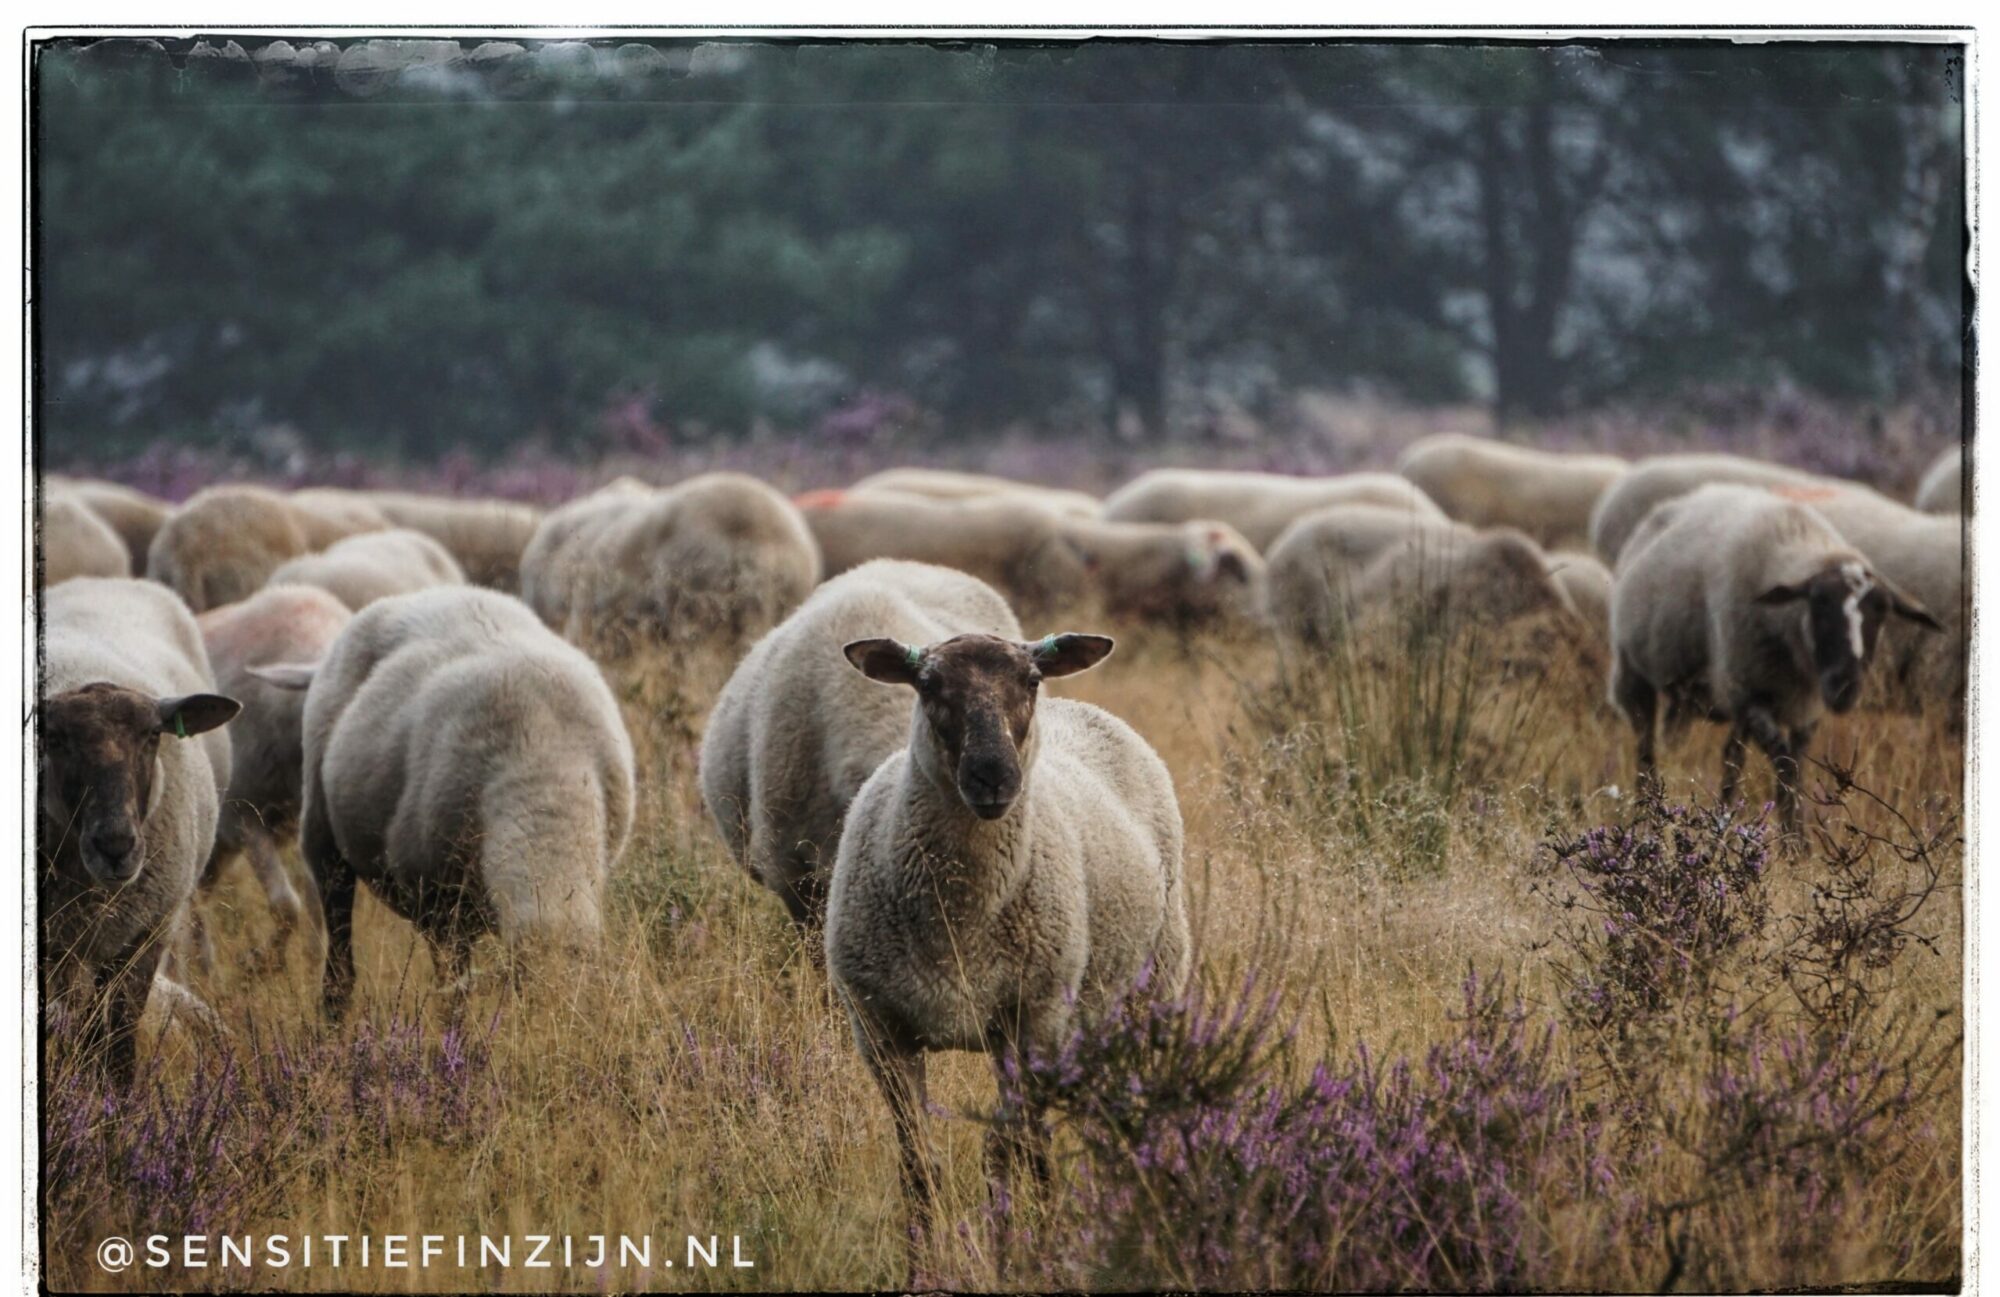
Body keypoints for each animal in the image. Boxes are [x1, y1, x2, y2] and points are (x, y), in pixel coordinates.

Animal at [40, 578, 240, 1082]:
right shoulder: (60, 941)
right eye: (55, 739)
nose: (116, 846)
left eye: (153, 735)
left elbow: (115, 1040)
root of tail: (105, 581)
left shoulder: (147, 932)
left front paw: (115, 1096)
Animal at [195, 586, 353, 972]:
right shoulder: (241, 816)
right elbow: (286, 904)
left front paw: (311, 964)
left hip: (216, 851)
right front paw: (260, 962)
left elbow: (314, 908)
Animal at [824, 630, 1188, 1275]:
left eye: (1031, 680)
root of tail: (1080, 706)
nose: (993, 776)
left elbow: (1018, 1148)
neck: (961, 923)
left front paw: (1032, 1254)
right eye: (928, 685)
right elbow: (919, 1165)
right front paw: (923, 1267)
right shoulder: (879, 1030)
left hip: (1147, 985)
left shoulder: (1031, 1019)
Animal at [1608, 485, 1941, 833]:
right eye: (1819, 602)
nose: (1845, 687)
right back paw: (1646, 816)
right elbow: (1784, 763)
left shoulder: (1804, 708)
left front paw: (1791, 834)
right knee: (1646, 750)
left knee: (1717, 753)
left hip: (1697, 693)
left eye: (1882, 611)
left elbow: (1790, 766)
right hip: (1634, 673)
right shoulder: (1748, 694)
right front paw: (1796, 838)